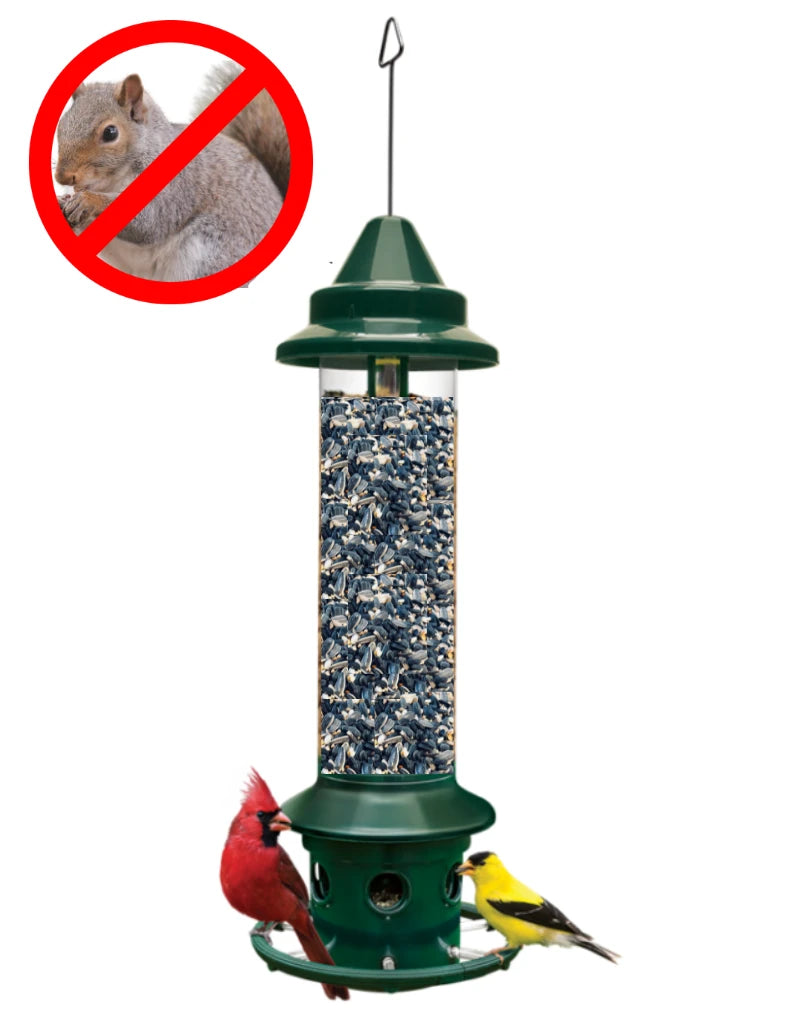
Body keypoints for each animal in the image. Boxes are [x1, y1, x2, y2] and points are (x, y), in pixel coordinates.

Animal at [55, 63, 289, 281]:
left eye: (110, 132)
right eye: (61, 126)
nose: (62, 177)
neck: (112, 181)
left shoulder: (175, 188)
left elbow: (151, 221)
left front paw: (88, 200)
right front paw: (64, 202)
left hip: (208, 252)